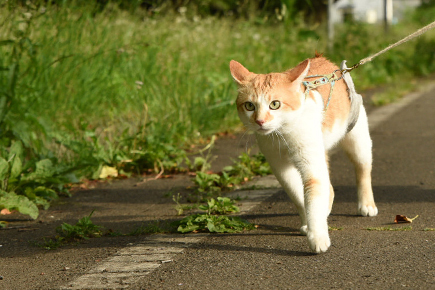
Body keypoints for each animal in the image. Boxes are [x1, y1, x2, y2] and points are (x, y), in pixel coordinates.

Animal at [232, 55, 378, 253]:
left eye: (275, 104)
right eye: (249, 106)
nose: (260, 121)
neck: (283, 135)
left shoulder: (311, 165)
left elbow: (313, 200)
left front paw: (317, 236)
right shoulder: (280, 167)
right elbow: (298, 195)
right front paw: (309, 225)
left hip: (357, 141)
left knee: (362, 171)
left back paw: (367, 205)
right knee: (329, 187)